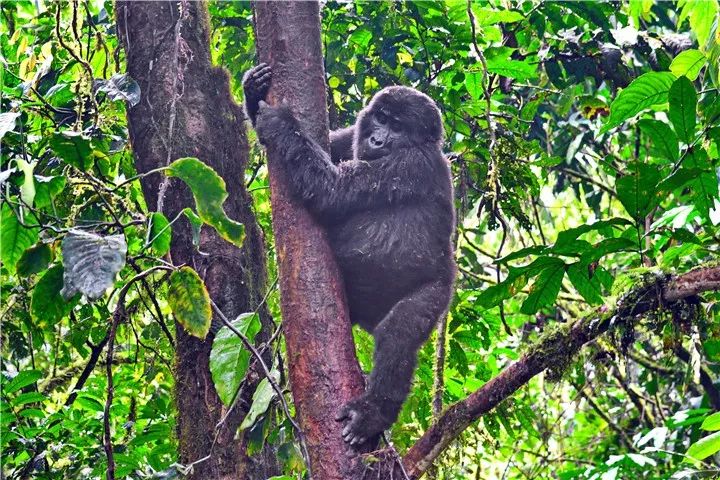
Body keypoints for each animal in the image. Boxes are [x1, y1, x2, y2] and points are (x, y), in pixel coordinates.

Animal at [245, 63, 452, 446]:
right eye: (381, 118)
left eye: (398, 127)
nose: (377, 141)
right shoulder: (351, 135)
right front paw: (253, 91)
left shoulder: (409, 163)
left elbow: (332, 190)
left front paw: (281, 123)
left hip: (437, 293)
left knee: (399, 335)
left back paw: (373, 414)